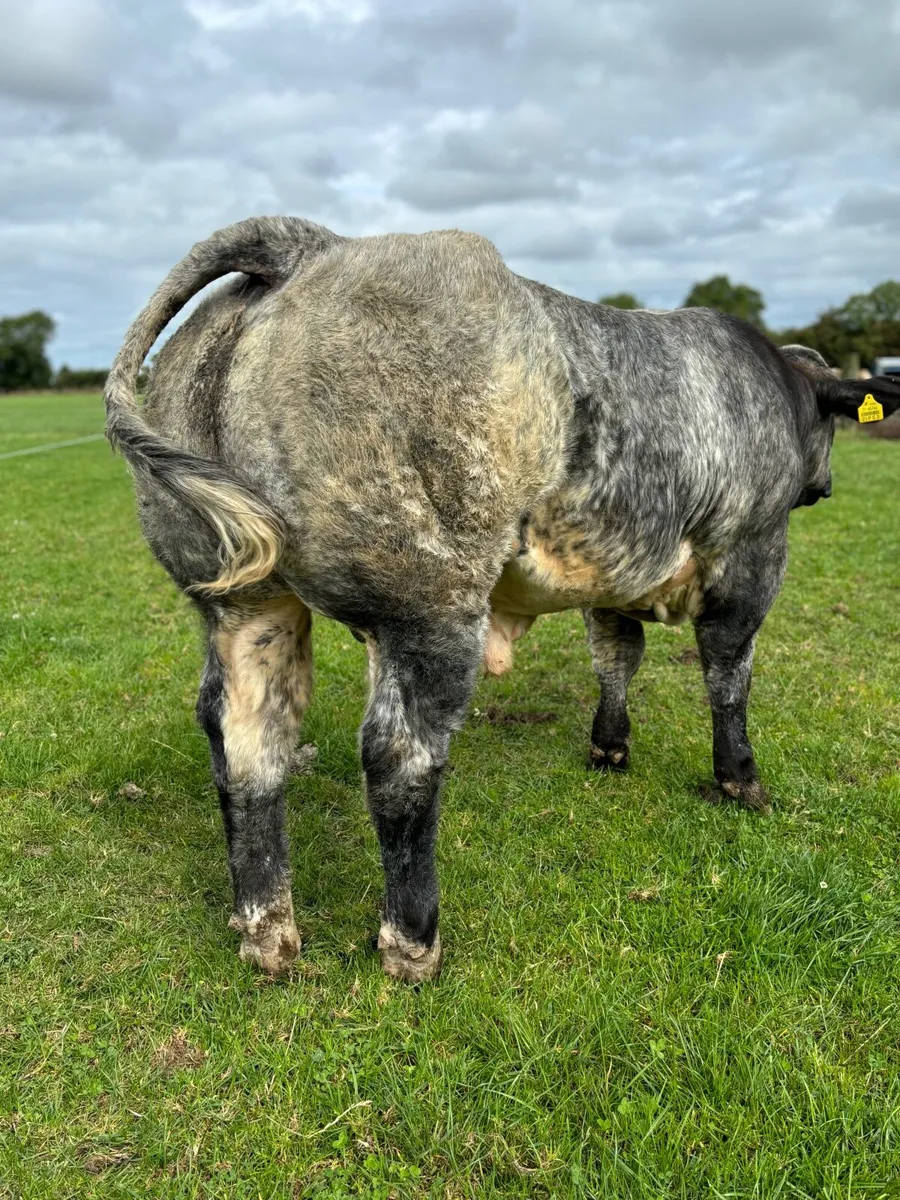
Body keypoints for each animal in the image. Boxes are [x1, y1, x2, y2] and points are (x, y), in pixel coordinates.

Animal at [105, 216, 900, 982]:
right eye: (832, 423)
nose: (826, 484)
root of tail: (307, 245)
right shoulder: (751, 552)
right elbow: (728, 675)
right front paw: (741, 782)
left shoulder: (612, 569)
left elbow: (618, 657)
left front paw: (610, 746)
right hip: (430, 603)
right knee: (400, 755)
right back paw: (413, 943)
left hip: (244, 603)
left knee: (246, 738)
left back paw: (267, 932)